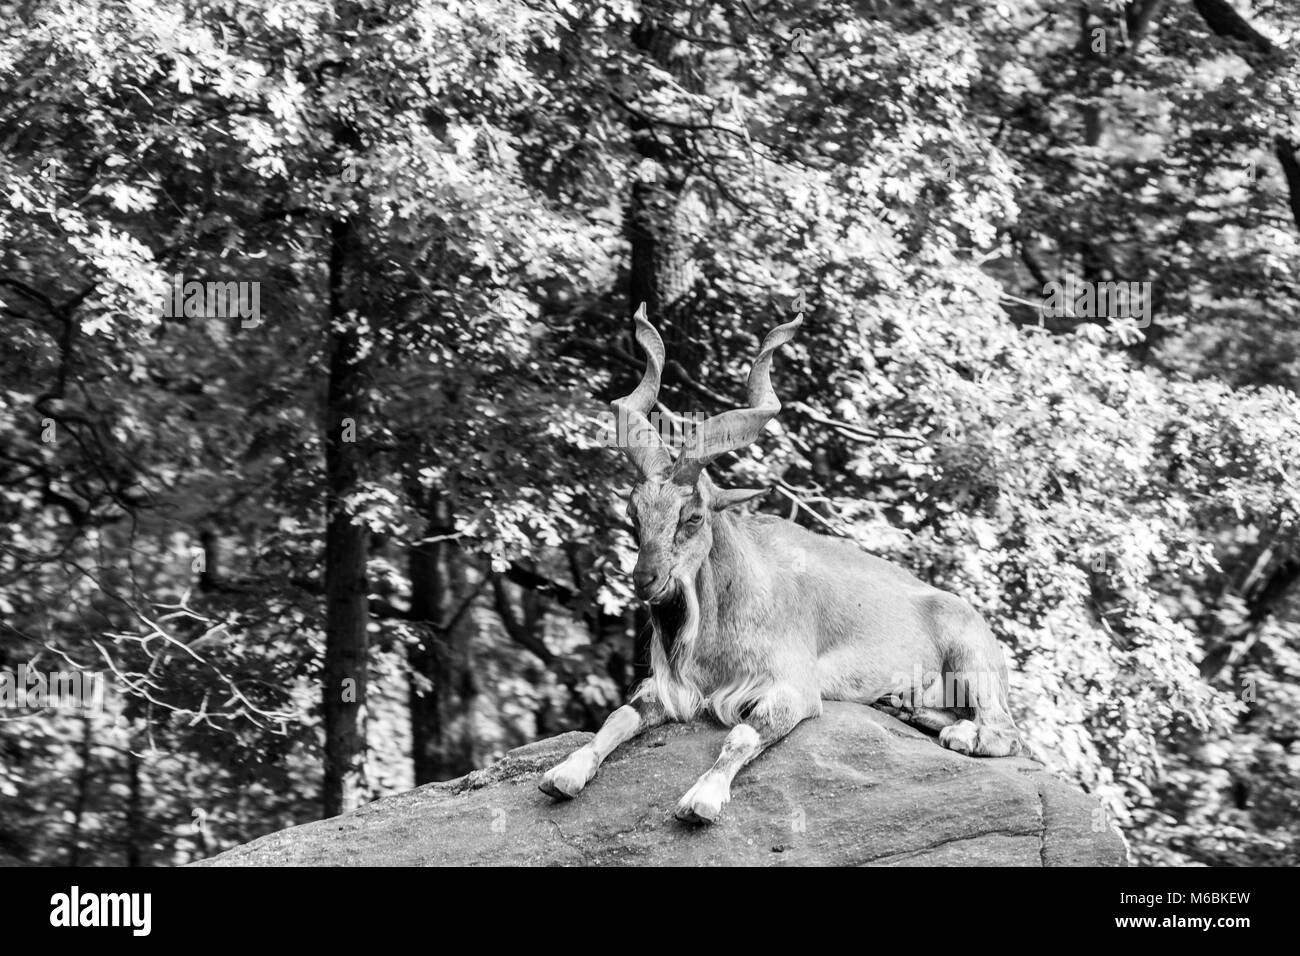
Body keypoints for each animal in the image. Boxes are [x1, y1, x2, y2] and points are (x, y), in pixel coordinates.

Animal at [539, 311, 1023, 824]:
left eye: (693, 517)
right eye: (634, 514)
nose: (645, 579)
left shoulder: (792, 689)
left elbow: (742, 735)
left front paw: (702, 798)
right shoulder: (671, 689)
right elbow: (618, 718)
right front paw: (564, 773)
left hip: (972, 658)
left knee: (1004, 732)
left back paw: (959, 732)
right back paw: (906, 708)